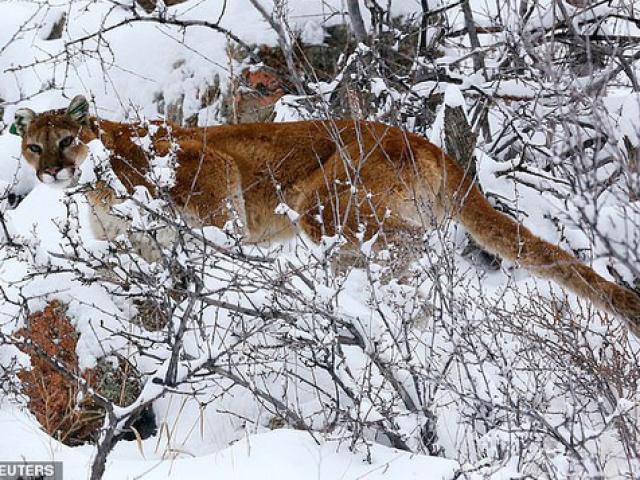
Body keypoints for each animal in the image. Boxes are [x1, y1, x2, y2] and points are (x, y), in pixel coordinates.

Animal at [13, 95, 640, 338]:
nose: (51, 172)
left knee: (412, 244)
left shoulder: (210, 168)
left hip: (325, 205)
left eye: (67, 140)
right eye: (34, 147)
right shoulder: (131, 245)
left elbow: (217, 230)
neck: (98, 187)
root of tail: (425, 140)